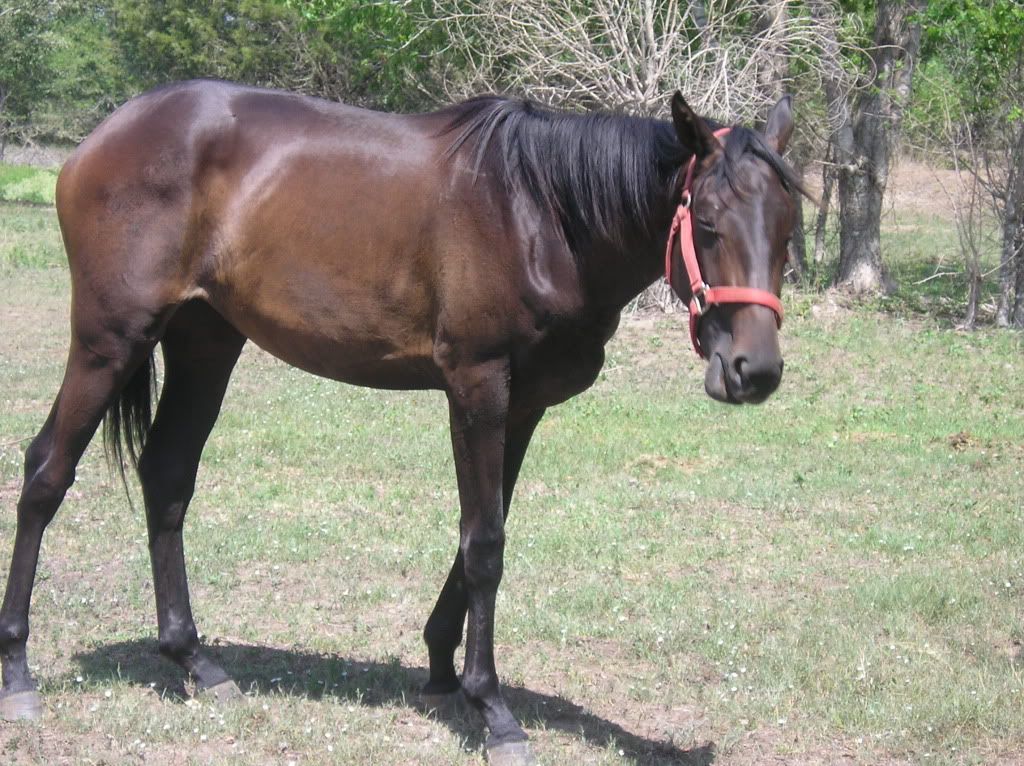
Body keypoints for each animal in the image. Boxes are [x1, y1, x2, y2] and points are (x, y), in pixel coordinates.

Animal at [0, 80, 806, 765]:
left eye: (789, 227)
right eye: (707, 224)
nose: (755, 371)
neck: (540, 213)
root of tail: (105, 135)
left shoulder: (523, 404)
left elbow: (483, 530)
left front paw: (444, 667)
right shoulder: (476, 385)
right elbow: (485, 544)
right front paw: (494, 711)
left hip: (205, 340)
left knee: (167, 477)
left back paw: (195, 660)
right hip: (110, 339)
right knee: (45, 473)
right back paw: (19, 671)